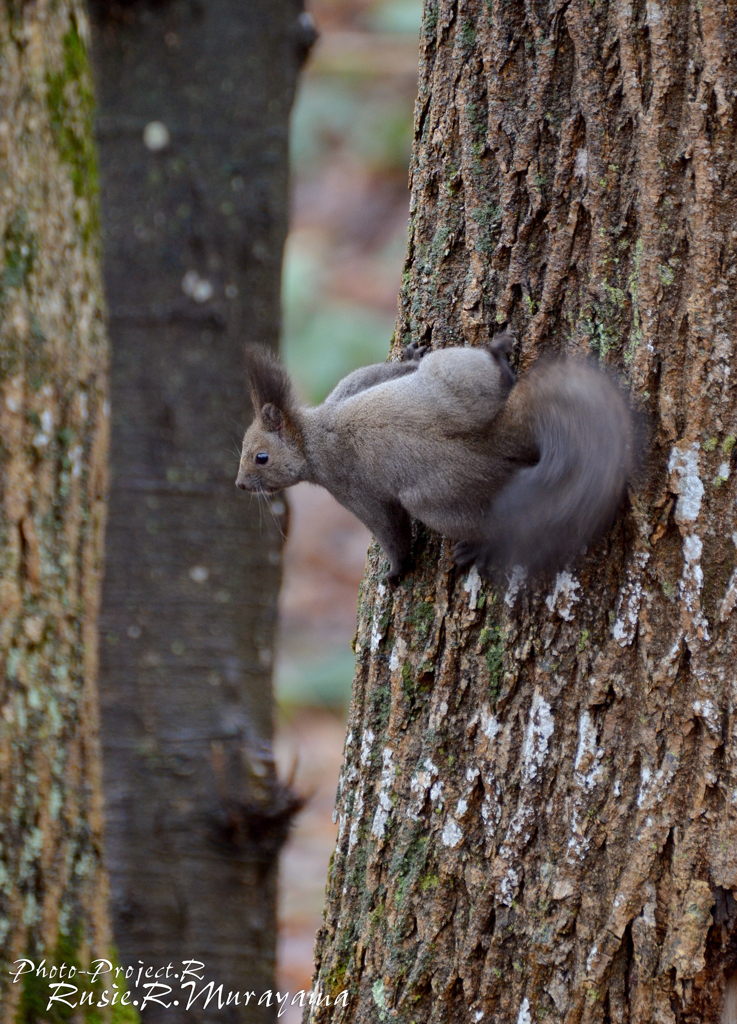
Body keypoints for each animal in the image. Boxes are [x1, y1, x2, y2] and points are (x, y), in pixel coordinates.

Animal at [236, 331, 634, 581]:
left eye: (260, 457)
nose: (240, 485)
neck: (312, 437)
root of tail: (499, 440)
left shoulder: (351, 488)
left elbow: (388, 528)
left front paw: (396, 570)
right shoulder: (349, 388)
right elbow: (382, 372)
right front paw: (411, 356)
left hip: (439, 498)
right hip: (454, 376)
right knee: (494, 380)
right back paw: (499, 354)